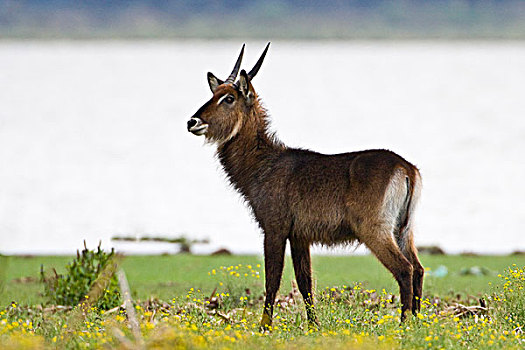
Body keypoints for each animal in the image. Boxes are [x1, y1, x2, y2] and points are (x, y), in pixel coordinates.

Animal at [186, 43, 424, 330]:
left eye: (229, 98)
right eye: (215, 93)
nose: (192, 122)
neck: (263, 164)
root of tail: (406, 168)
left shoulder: (274, 228)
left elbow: (272, 280)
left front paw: (264, 327)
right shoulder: (299, 235)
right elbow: (305, 282)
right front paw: (313, 326)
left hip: (375, 229)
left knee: (405, 269)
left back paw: (405, 324)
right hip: (404, 229)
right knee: (419, 269)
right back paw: (420, 322)